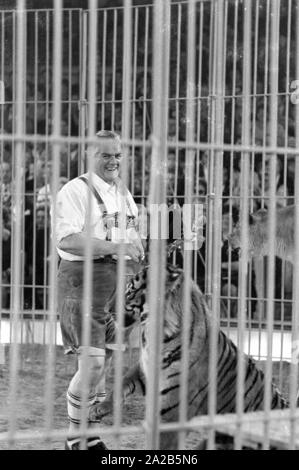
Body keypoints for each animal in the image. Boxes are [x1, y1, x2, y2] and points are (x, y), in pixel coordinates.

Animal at [93, 262, 290, 450]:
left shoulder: (172, 410)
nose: (106, 309)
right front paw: (99, 408)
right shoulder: (146, 368)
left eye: (131, 291)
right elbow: (122, 382)